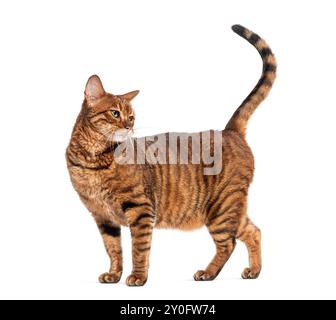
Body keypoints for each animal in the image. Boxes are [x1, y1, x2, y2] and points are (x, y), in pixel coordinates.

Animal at [65, 24, 276, 284]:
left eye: (131, 117)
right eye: (115, 113)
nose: (128, 126)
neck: (93, 159)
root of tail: (229, 131)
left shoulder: (141, 209)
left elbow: (139, 249)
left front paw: (137, 277)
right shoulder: (102, 217)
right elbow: (113, 249)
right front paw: (114, 274)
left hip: (221, 207)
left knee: (228, 244)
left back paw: (208, 272)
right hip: (232, 208)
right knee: (254, 232)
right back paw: (254, 270)